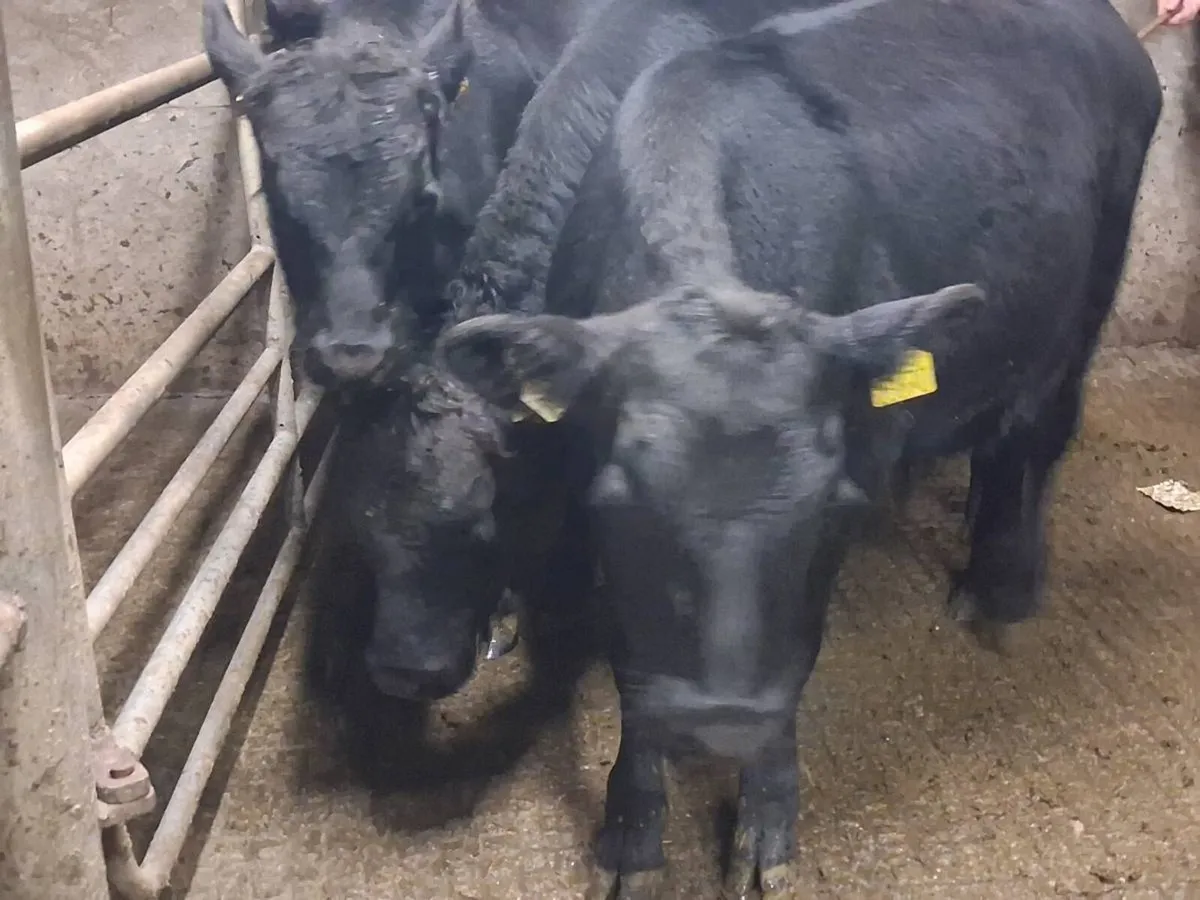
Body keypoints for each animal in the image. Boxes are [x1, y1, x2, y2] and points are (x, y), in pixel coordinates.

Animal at [433, 0, 1163, 894]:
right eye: (619, 505)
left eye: (830, 508)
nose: (723, 723)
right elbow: (635, 669)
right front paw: (633, 838)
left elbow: (796, 653)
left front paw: (765, 828)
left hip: (1087, 303)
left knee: (1038, 438)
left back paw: (1002, 586)